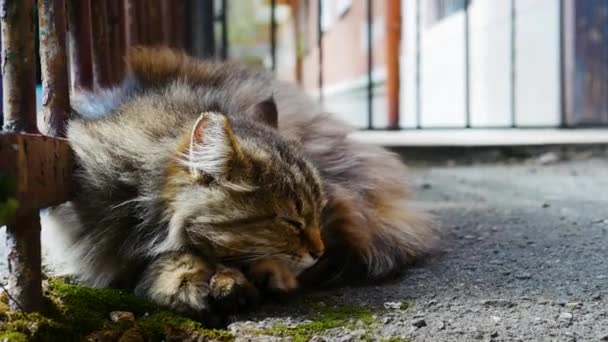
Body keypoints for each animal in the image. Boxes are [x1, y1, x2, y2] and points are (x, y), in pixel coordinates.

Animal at [42, 46, 440, 322]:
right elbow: (169, 259)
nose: (318, 250)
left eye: (310, 216)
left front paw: (247, 279)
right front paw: (188, 281)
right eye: (290, 221)